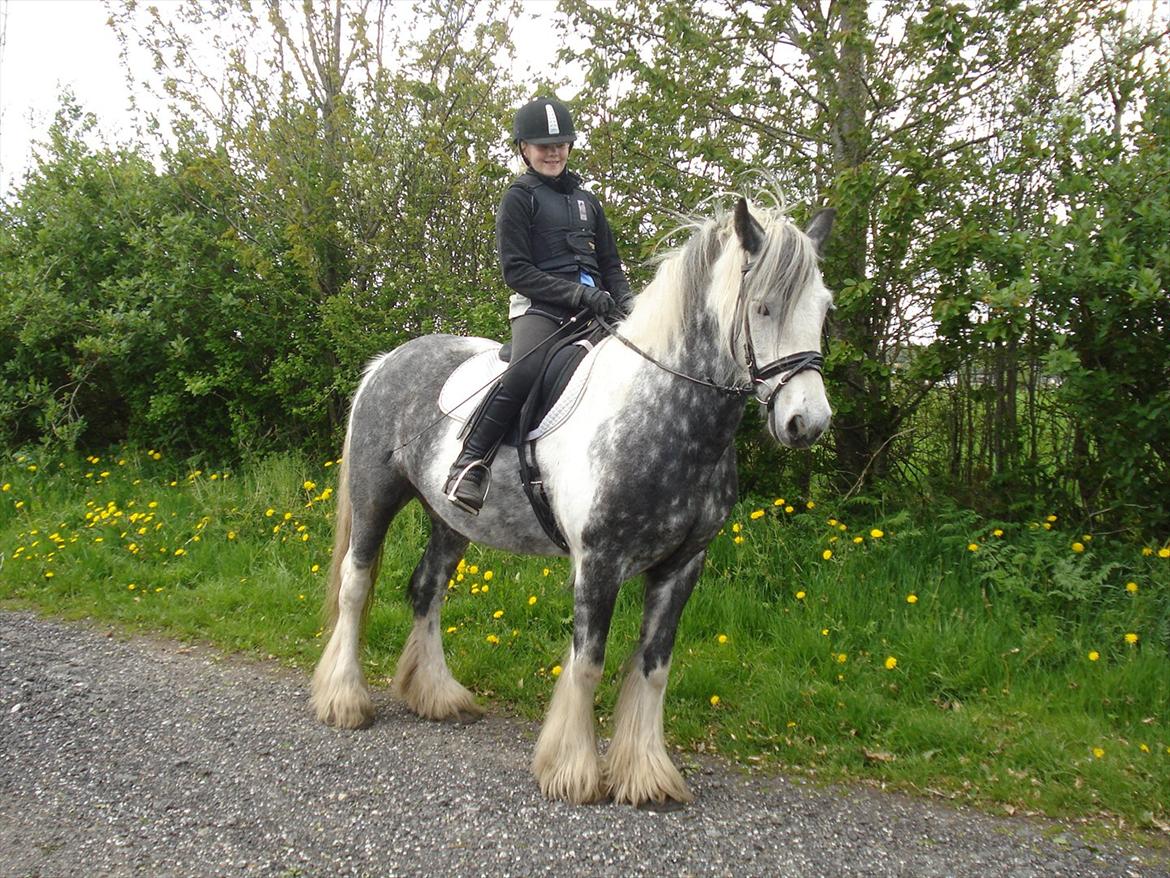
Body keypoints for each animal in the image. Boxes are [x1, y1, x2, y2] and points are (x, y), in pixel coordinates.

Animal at [311, 194, 833, 810]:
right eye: (764, 307)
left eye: (823, 309)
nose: (807, 423)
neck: (659, 410)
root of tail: (387, 362)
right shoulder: (599, 562)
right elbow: (588, 661)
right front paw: (572, 771)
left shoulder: (683, 566)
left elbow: (654, 665)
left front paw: (644, 773)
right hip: (375, 498)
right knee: (355, 585)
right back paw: (344, 699)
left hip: (452, 521)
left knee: (426, 589)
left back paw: (437, 695)